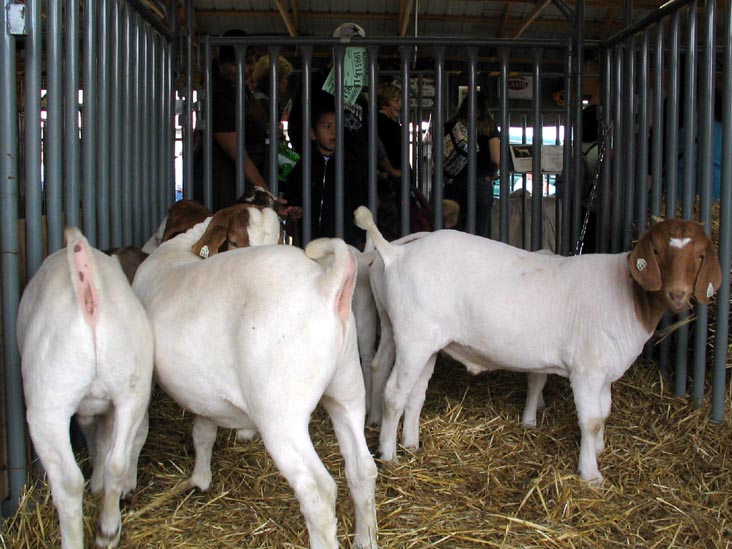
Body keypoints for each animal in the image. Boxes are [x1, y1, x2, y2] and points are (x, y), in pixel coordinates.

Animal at [17, 227, 154, 548]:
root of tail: (89, 297)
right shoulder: (105, 403)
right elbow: (102, 441)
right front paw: (100, 483)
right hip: (132, 393)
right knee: (117, 462)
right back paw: (108, 530)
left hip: (47, 405)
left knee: (68, 483)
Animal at [131, 220, 378, 548]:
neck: (176, 250)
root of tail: (326, 284)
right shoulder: (205, 395)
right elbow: (203, 432)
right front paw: (200, 479)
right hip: (347, 388)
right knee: (363, 469)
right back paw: (366, 538)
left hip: (281, 414)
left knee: (319, 491)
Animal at [354, 207, 722, 484]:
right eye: (657, 251)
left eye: (700, 254)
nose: (677, 295)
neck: (626, 293)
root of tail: (396, 252)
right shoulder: (587, 370)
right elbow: (590, 419)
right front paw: (590, 473)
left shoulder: (603, 371)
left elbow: (604, 413)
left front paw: (599, 449)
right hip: (413, 336)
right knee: (394, 393)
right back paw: (389, 454)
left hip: (417, 337)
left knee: (414, 393)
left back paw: (411, 444)